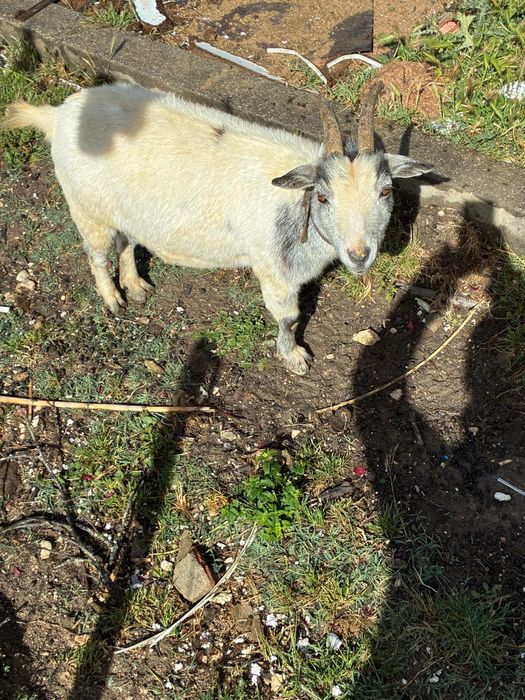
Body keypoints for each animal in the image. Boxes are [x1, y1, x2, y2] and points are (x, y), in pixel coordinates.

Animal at [1, 81, 432, 374]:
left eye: (386, 190)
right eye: (323, 197)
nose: (360, 255)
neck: (297, 205)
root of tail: (57, 115)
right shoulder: (273, 270)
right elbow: (289, 318)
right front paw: (294, 357)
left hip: (128, 212)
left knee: (126, 244)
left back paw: (137, 287)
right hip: (88, 208)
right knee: (96, 254)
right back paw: (113, 299)